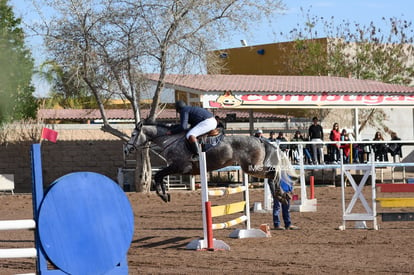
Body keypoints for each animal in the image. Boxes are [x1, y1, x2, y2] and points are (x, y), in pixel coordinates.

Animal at [123, 123, 298, 203]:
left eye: (133, 134)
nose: (126, 150)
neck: (170, 140)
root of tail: (260, 139)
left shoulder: (179, 167)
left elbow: (158, 176)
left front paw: (164, 195)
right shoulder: (175, 168)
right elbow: (159, 176)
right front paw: (165, 194)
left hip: (252, 167)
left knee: (273, 172)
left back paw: (281, 195)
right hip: (250, 168)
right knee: (272, 174)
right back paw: (282, 196)